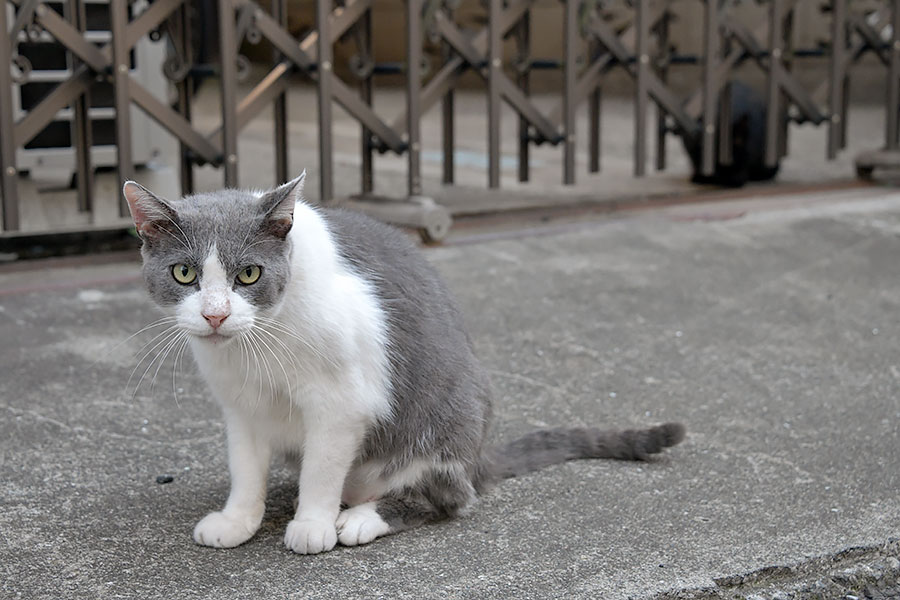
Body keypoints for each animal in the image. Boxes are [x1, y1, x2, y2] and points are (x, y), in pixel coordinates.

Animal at [119, 176, 684, 556]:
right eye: (184, 273)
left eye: (249, 274)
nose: (215, 314)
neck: (255, 347)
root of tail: (479, 457)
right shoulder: (240, 406)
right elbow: (245, 468)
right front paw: (238, 521)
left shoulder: (342, 401)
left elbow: (322, 466)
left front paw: (312, 524)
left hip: (447, 422)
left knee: (448, 497)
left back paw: (361, 519)